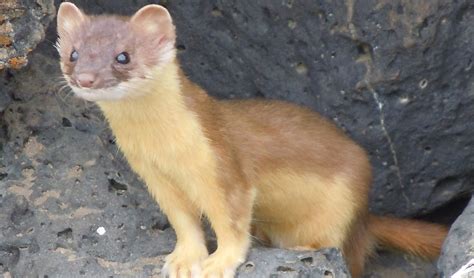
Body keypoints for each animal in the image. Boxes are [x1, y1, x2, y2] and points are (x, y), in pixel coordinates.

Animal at [56, 2, 448, 278]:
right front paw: (184, 260)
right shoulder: (154, 176)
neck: (164, 149)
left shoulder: (222, 164)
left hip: (345, 206)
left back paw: (306, 247)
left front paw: (218, 263)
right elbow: (183, 221)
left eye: (123, 56)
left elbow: (231, 221)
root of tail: (365, 216)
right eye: (73, 53)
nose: (85, 78)